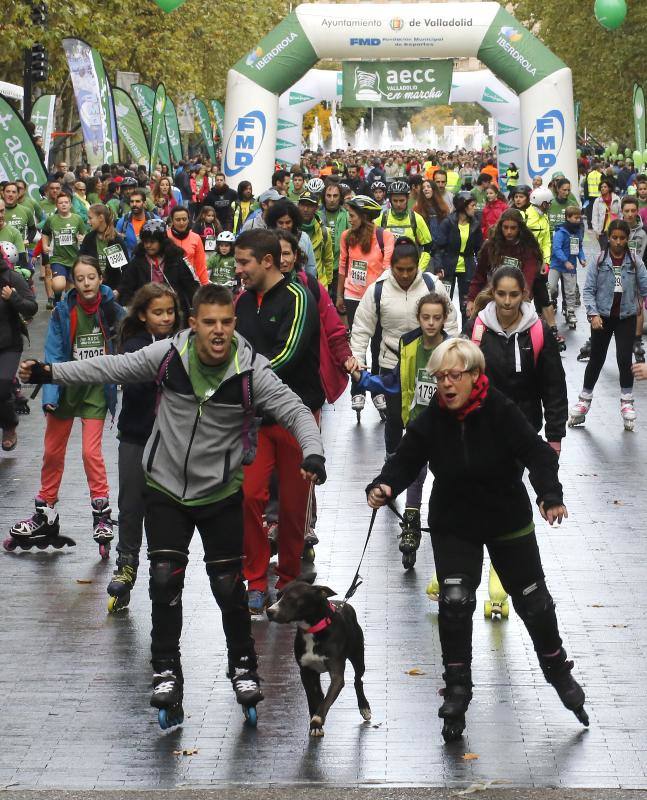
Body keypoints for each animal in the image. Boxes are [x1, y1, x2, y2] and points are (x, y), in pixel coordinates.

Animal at [268, 580, 370, 736]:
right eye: (278, 595)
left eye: (291, 598)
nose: (269, 611)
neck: (313, 630)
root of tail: (344, 603)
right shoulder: (306, 672)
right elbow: (312, 699)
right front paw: (315, 725)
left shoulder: (337, 674)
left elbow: (327, 699)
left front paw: (317, 720)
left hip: (358, 657)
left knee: (358, 680)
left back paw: (364, 707)